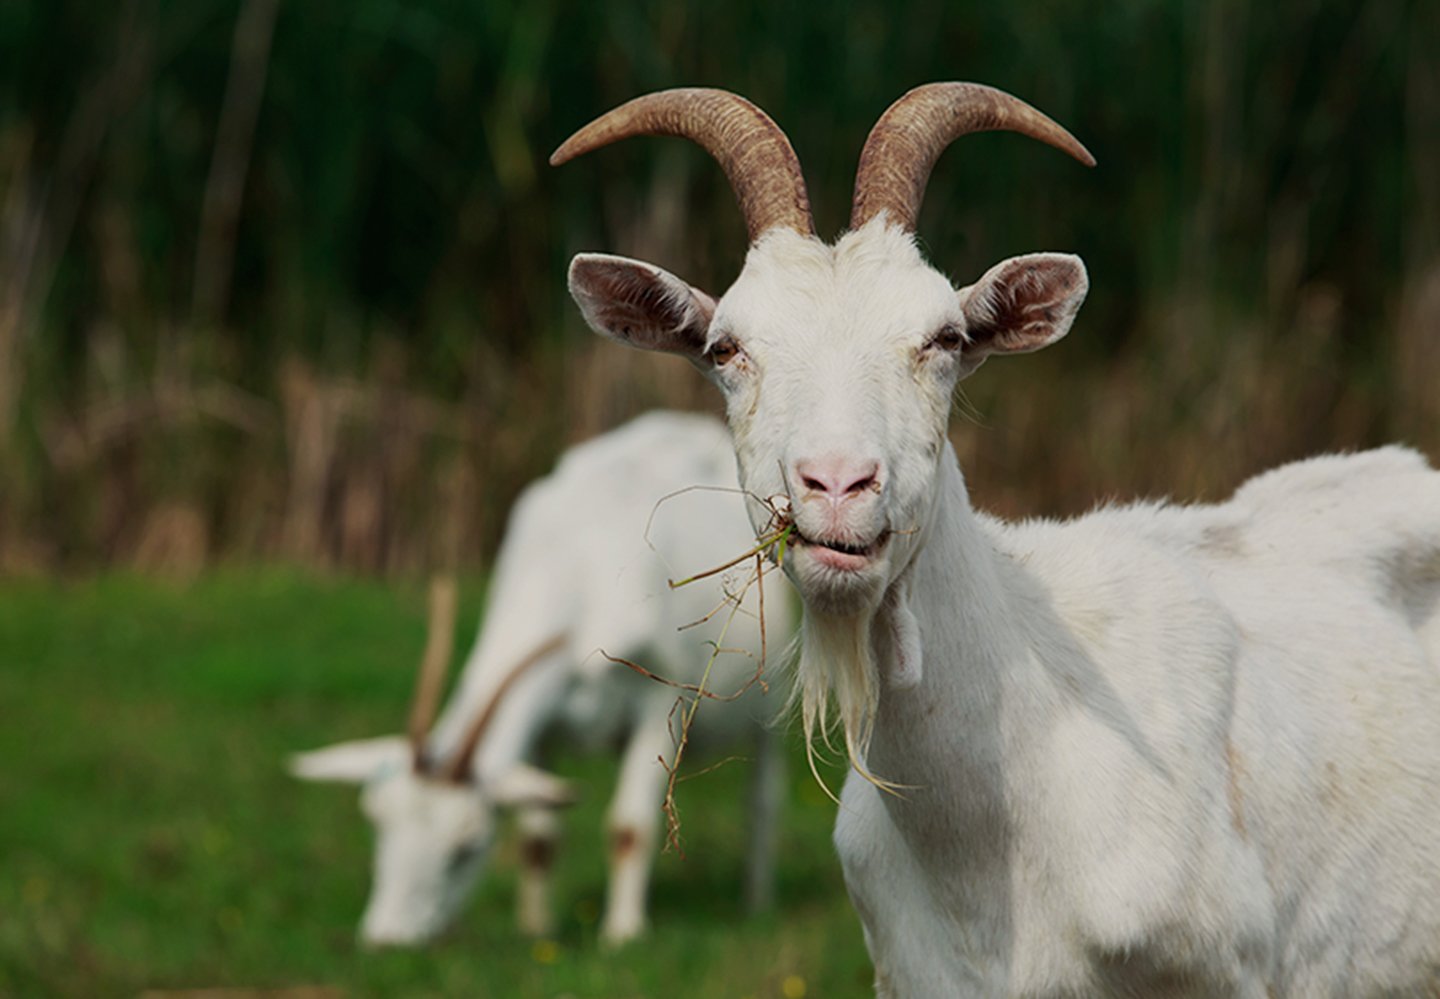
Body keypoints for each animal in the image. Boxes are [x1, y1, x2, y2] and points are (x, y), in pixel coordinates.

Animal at [292, 411, 791, 947]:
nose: (387, 941)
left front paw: (623, 934)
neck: (576, 561)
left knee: (762, 801)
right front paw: (535, 929)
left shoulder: (660, 703)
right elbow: (538, 837)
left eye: (466, 848)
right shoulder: (543, 726)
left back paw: (758, 903)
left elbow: (630, 827)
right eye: (378, 824)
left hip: (769, 706)